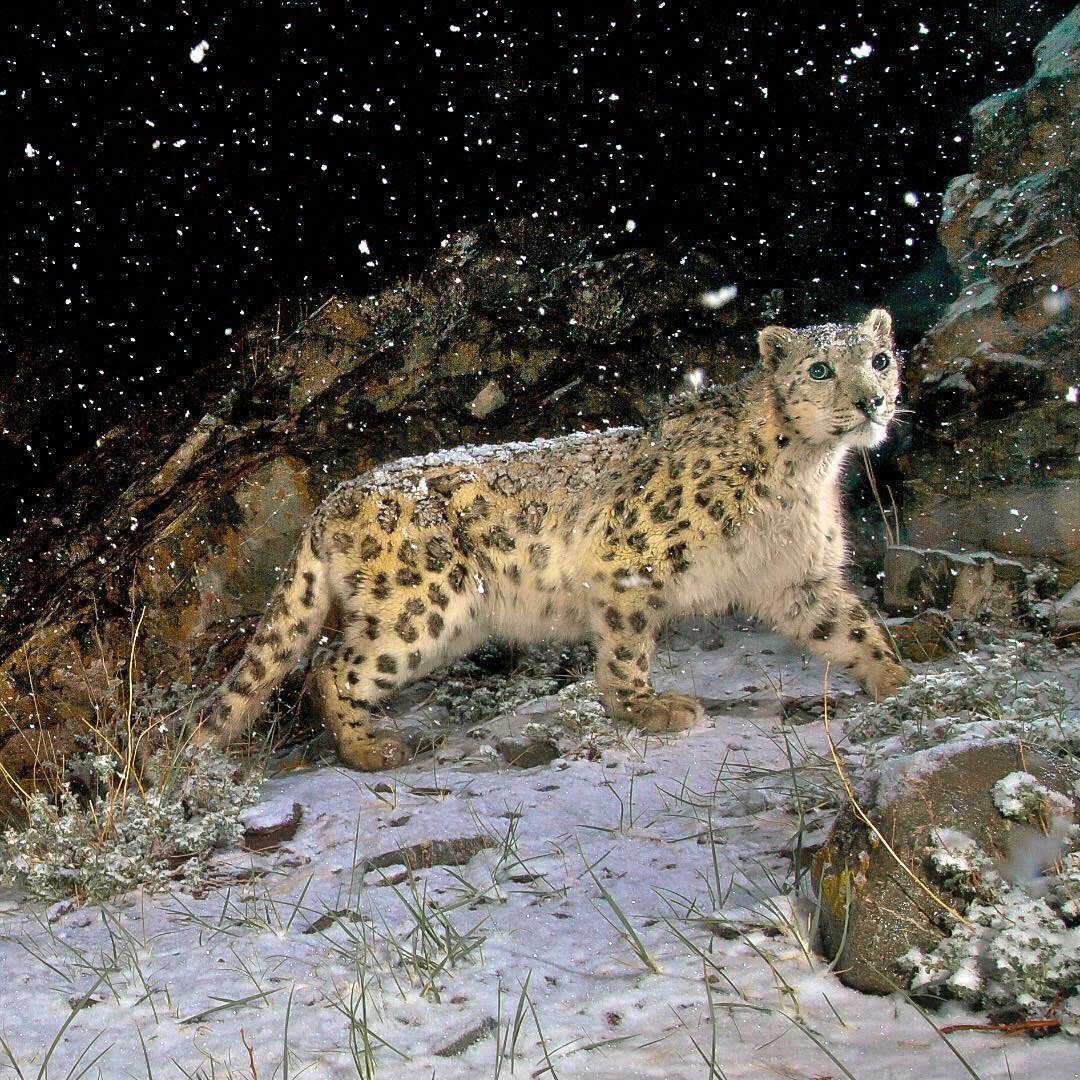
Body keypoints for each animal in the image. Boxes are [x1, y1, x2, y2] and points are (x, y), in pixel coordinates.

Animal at [195, 308, 908, 770]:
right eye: (819, 369)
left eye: (880, 359)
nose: (872, 401)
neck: (805, 474)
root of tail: (332, 499)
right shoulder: (630, 559)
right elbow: (625, 648)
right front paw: (647, 708)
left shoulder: (797, 577)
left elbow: (851, 628)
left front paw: (901, 681)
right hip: (423, 607)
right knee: (329, 667)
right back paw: (371, 749)